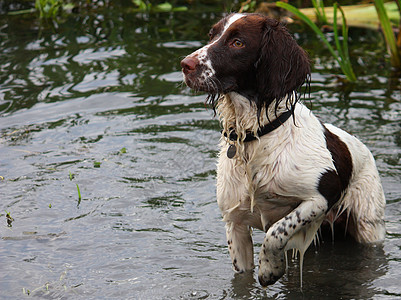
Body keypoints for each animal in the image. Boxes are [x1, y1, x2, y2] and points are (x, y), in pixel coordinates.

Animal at [179, 12, 384, 288]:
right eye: (212, 35)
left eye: (238, 43)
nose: (185, 64)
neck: (256, 137)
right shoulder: (234, 223)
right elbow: (242, 280)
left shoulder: (322, 195)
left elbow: (276, 231)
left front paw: (269, 269)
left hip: (368, 225)